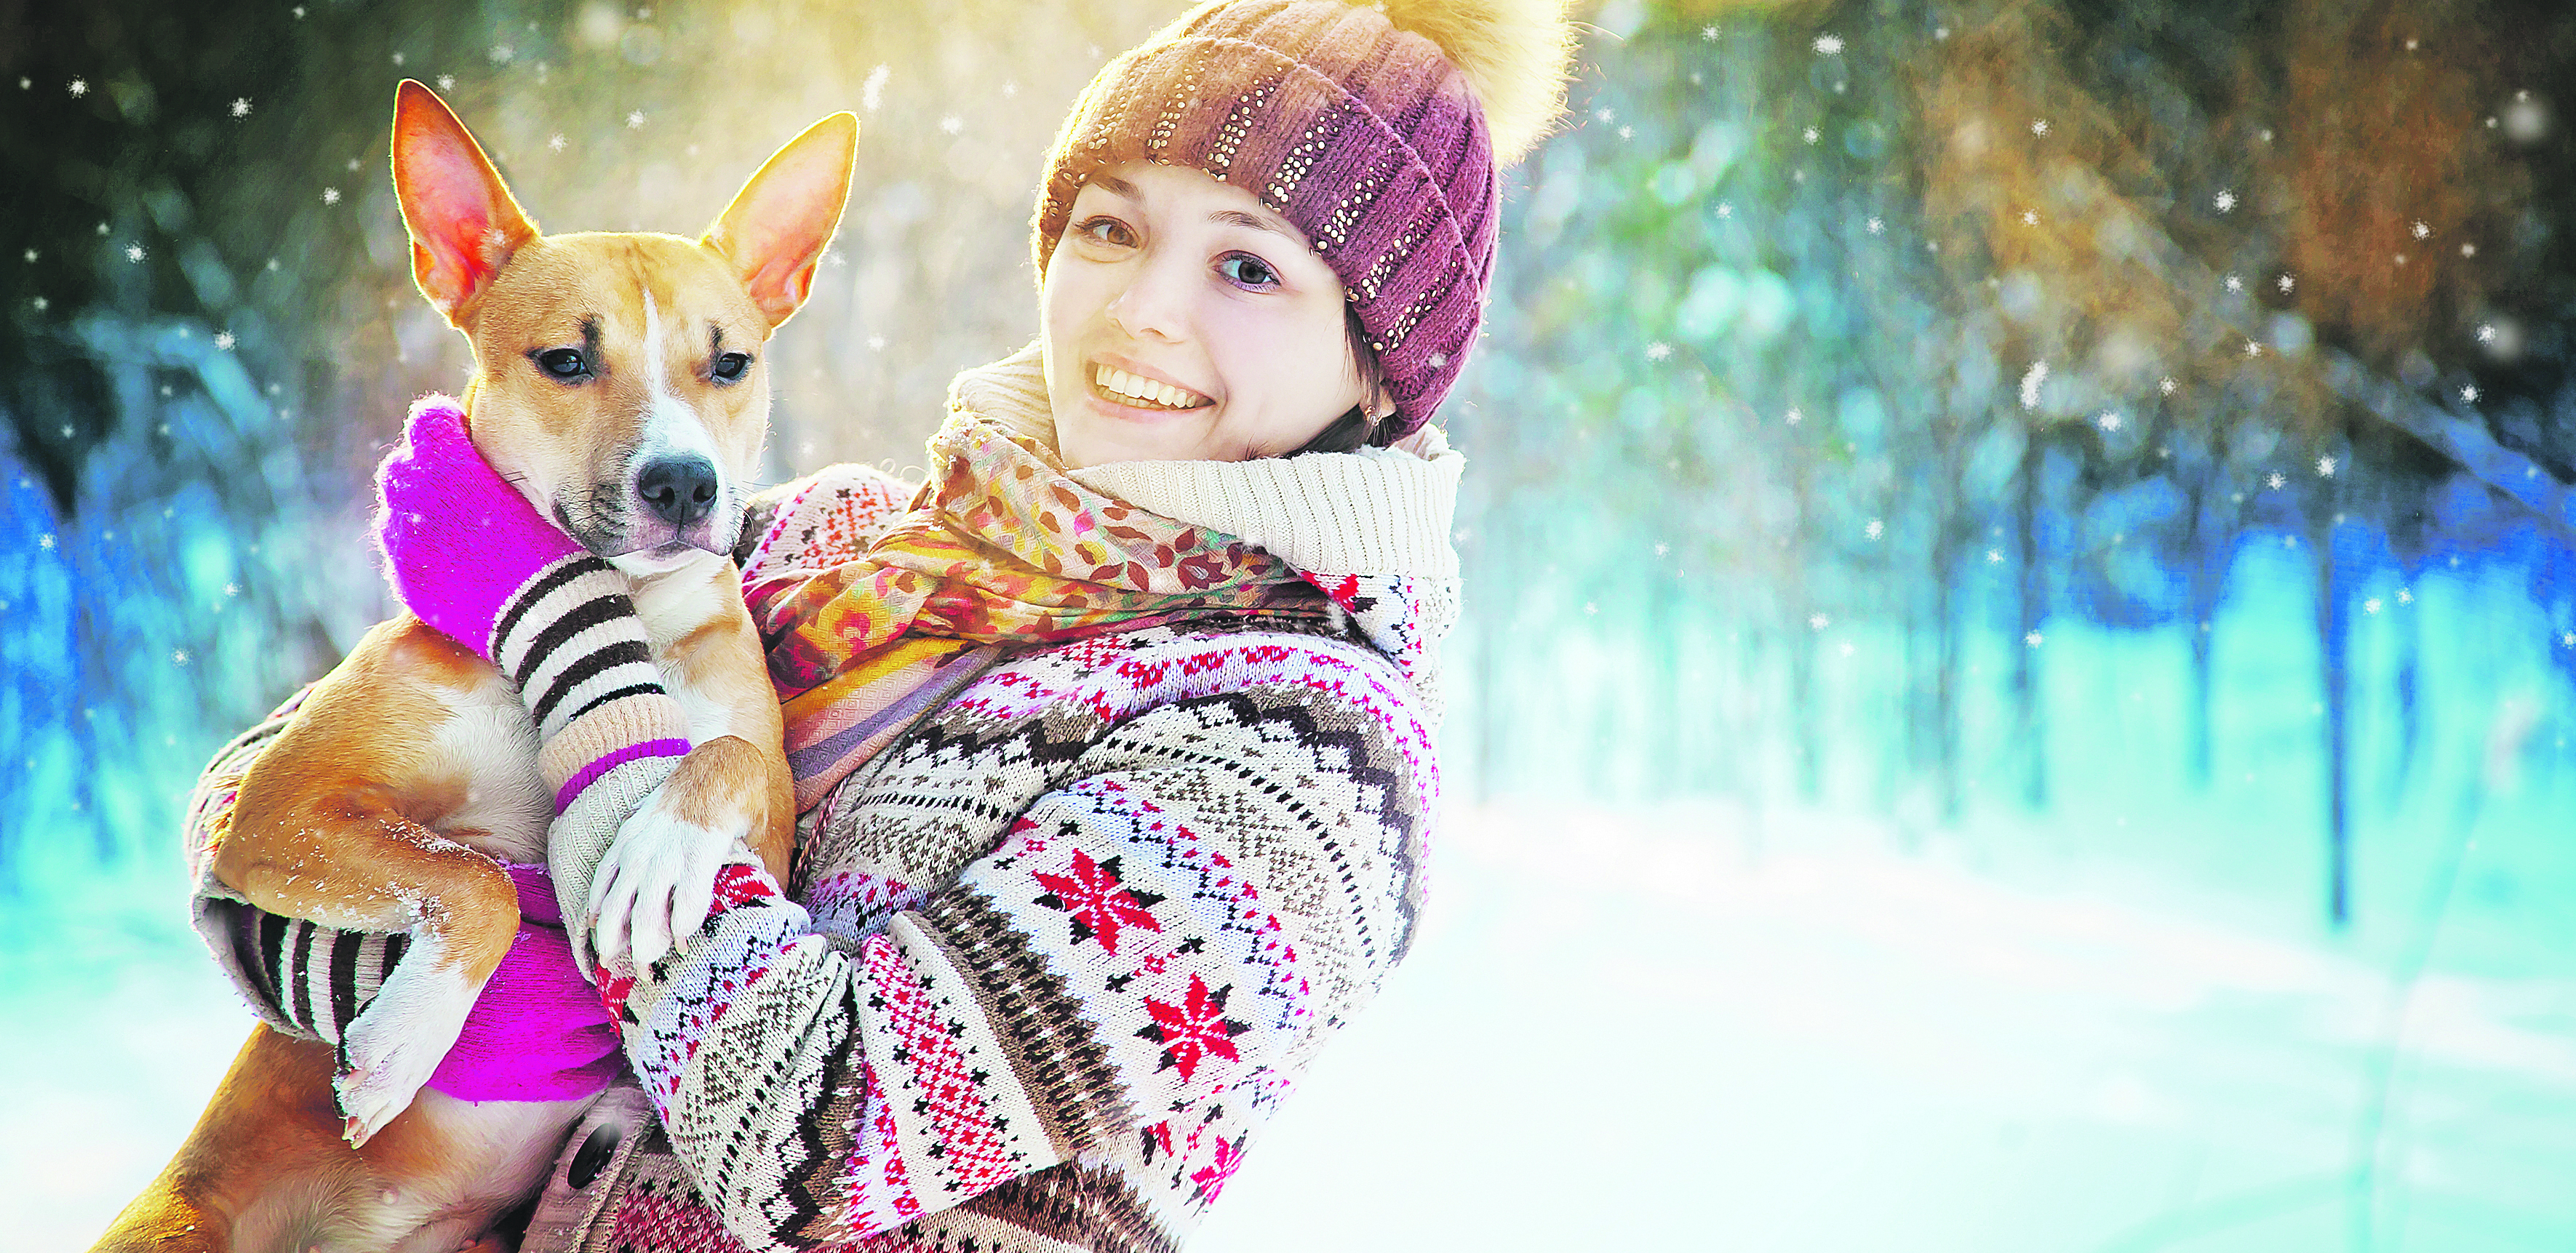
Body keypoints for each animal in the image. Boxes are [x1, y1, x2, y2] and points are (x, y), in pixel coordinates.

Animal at [95, 81, 855, 1253]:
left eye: (729, 363)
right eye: (567, 361)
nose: (684, 483)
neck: (623, 612)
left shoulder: (771, 820)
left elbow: (725, 756)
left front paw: (655, 850)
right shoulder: (279, 807)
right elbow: (478, 877)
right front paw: (404, 1038)